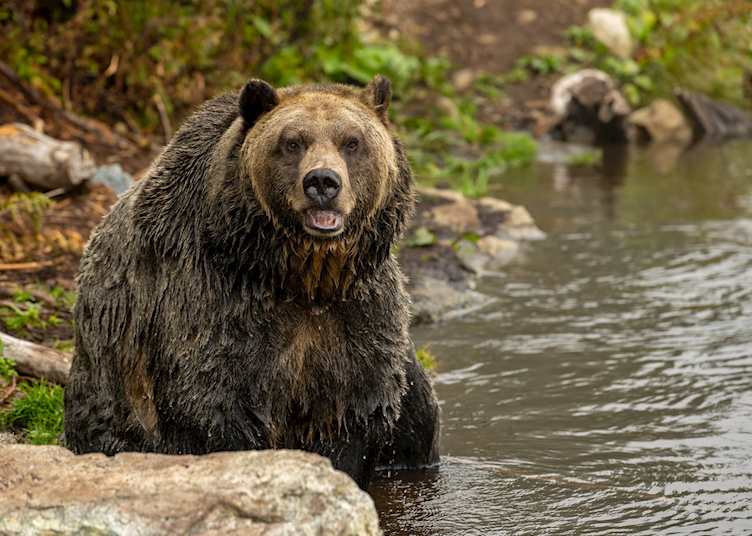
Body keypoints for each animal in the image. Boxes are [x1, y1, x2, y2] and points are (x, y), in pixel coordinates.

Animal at [63, 75, 440, 489]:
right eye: (292, 142)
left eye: (352, 141)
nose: (322, 182)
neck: (302, 277)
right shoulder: (215, 302)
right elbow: (214, 402)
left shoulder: (358, 315)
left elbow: (350, 410)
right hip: (109, 389)